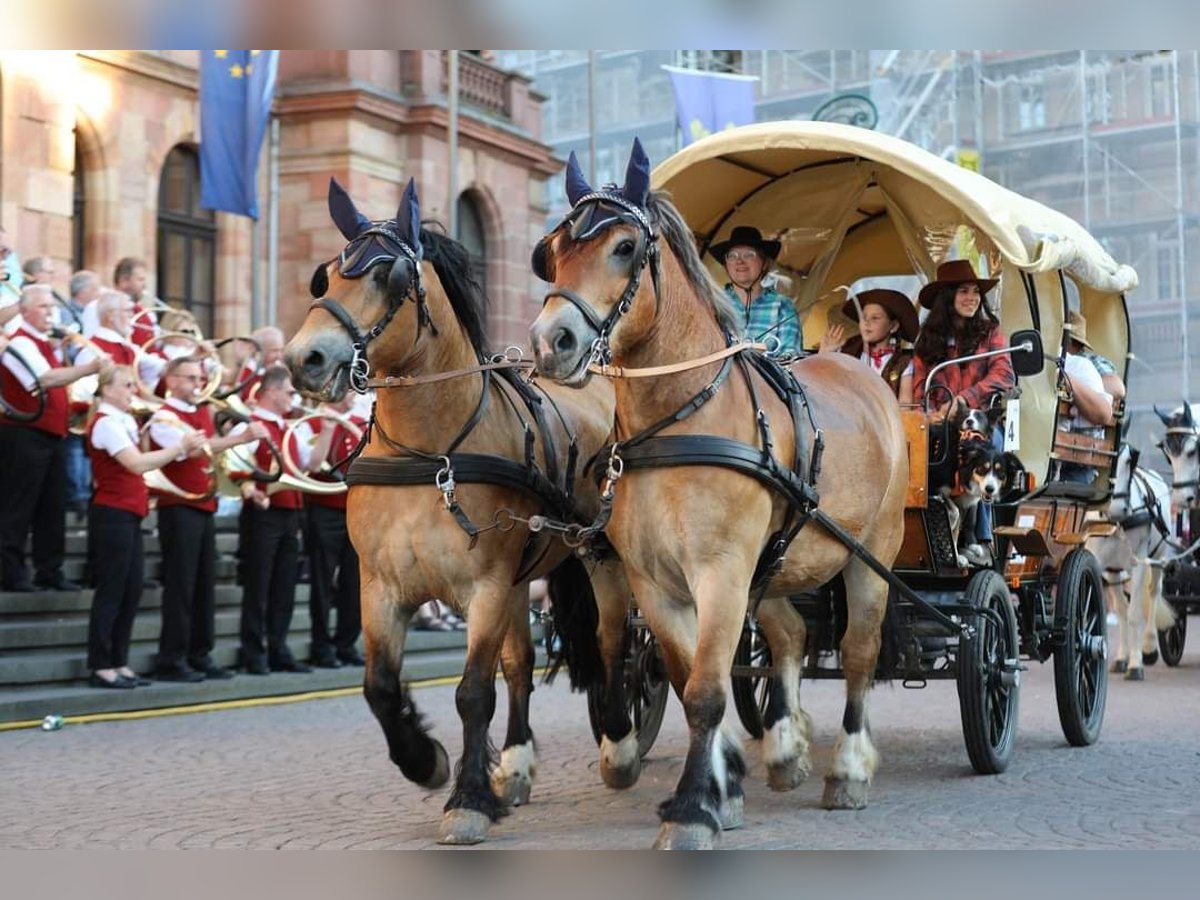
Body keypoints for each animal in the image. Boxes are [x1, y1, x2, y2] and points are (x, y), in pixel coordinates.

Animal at [284, 181, 633, 844]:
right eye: (324, 277)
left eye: (389, 276)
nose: (302, 359)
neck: (429, 454)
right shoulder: (380, 586)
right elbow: (379, 686)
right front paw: (425, 761)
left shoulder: (486, 587)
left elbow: (473, 693)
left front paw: (468, 799)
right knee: (521, 664)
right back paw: (517, 764)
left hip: (598, 558)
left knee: (611, 643)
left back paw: (620, 741)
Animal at [530, 142, 902, 854]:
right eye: (553, 251)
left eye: (624, 247)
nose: (549, 342)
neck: (680, 419)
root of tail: (862, 371)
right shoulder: (655, 583)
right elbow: (687, 679)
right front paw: (723, 786)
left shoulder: (721, 573)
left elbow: (705, 689)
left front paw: (693, 811)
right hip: (782, 564)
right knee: (788, 636)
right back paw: (784, 749)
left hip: (872, 555)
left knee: (859, 654)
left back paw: (849, 769)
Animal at [1089, 444, 1171, 681]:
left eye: (1129, 460)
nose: (1116, 509)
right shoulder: (1100, 563)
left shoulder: (1140, 564)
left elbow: (1135, 614)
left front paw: (1136, 664)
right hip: (1114, 571)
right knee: (1121, 608)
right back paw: (1121, 658)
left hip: (1158, 558)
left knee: (1153, 593)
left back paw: (1149, 646)